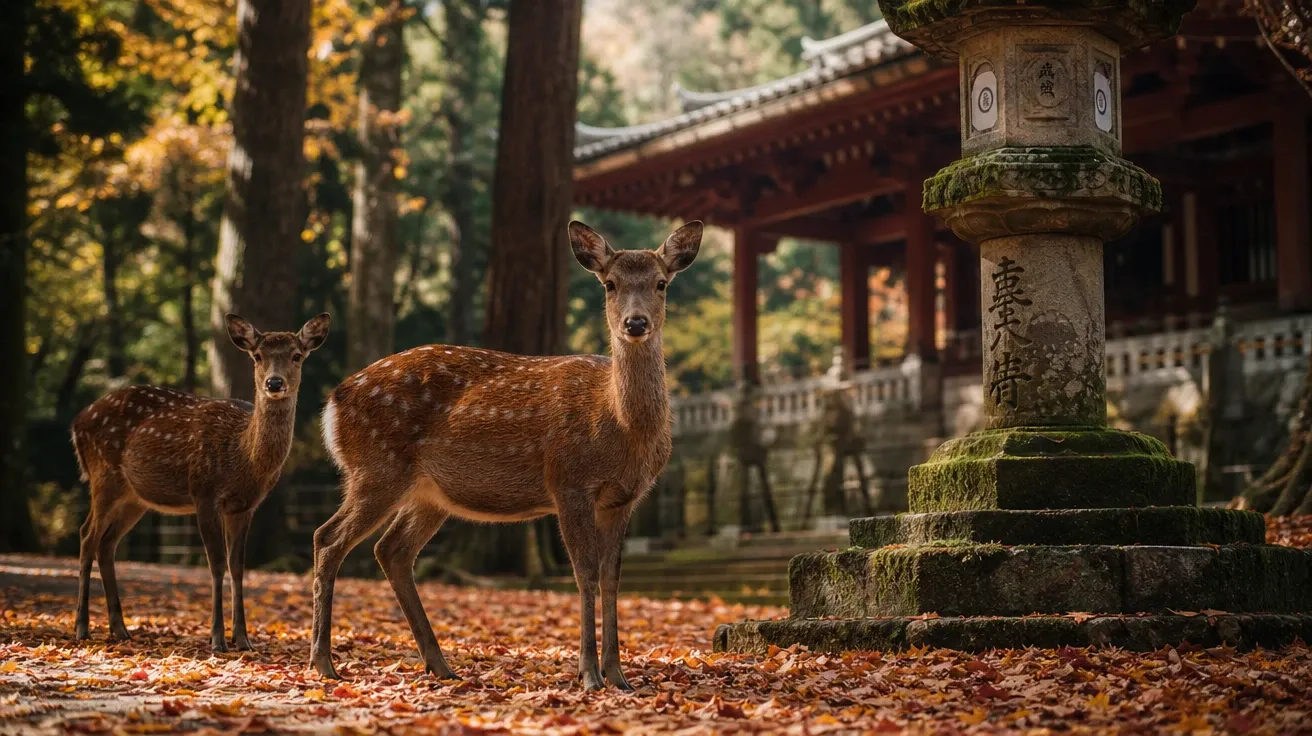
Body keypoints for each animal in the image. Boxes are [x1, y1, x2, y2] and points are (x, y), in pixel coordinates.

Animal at [70, 313, 331, 651]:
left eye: (297, 356)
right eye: (258, 356)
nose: (274, 383)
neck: (242, 456)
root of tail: (77, 422)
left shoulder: (245, 506)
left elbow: (237, 566)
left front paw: (243, 638)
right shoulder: (204, 493)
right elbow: (217, 563)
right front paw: (217, 639)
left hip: (134, 497)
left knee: (106, 543)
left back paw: (120, 629)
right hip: (103, 476)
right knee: (87, 535)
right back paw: (81, 627)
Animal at [311, 220, 702, 690]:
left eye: (661, 283)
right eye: (609, 284)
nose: (636, 322)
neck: (620, 423)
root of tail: (333, 402)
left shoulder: (623, 497)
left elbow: (612, 576)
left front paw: (619, 676)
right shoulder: (568, 480)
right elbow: (585, 572)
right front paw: (589, 674)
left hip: (427, 493)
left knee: (392, 550)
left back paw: (440, 665)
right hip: (375, 468)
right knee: (328, 538)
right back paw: (323, 663)